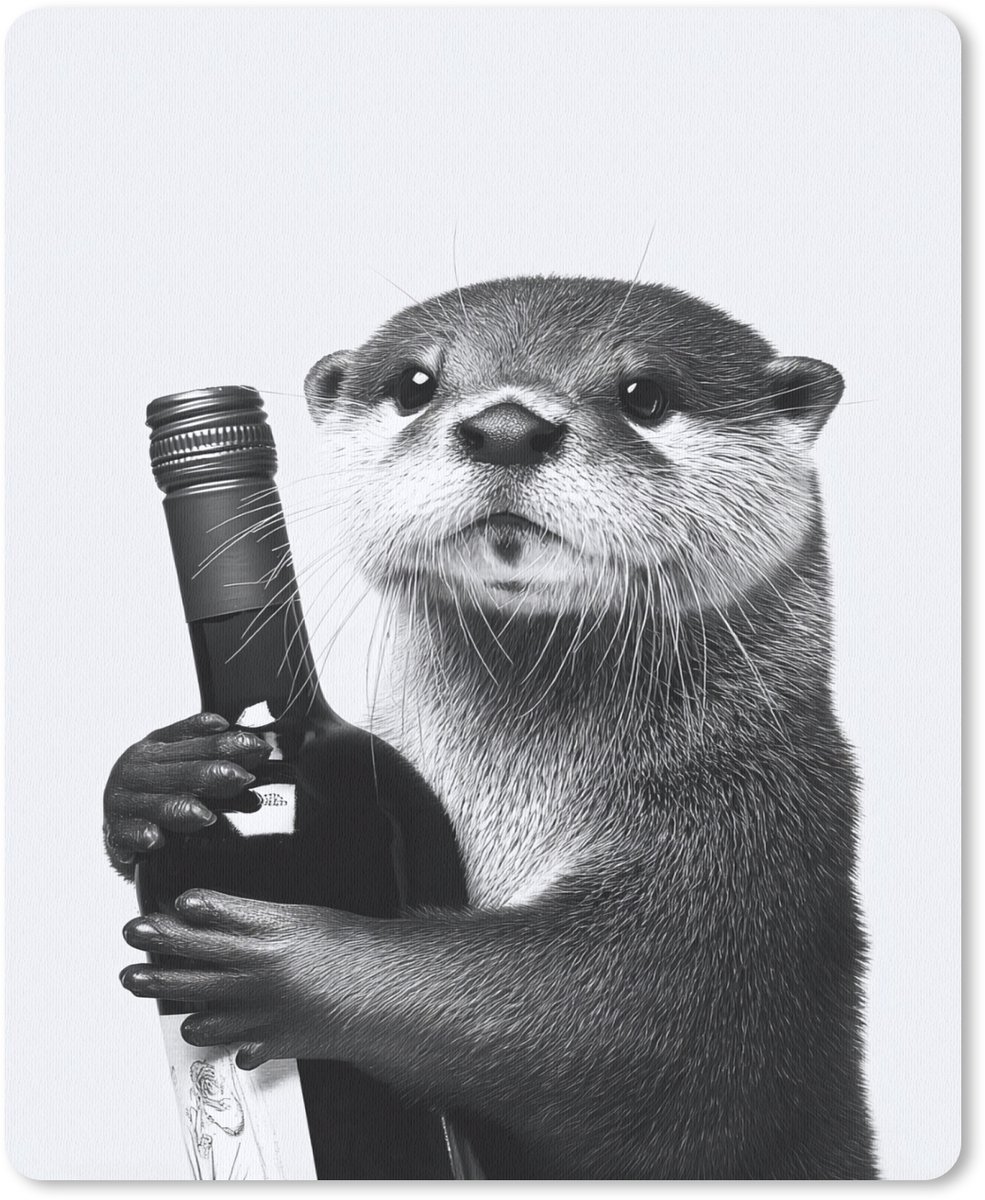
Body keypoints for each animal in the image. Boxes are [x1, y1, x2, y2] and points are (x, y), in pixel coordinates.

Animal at [112, 276, 876, 1179]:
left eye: (644, 395)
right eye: (415, 384)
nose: (507, 427)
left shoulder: (745, 849)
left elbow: (603, 1006)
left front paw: (295, 965)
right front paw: (153, 779)